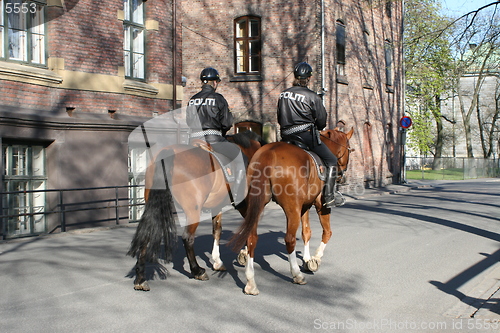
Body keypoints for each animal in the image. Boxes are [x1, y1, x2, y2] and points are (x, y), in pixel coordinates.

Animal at [127, 130, 262, 290]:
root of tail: (168, 152)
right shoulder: (243, 205)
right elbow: (248, 228)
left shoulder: (216, 206)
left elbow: (217, 230)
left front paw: (218, 261)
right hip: (193, 211)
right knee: (188, 238)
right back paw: (197, 270)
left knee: (146, 235)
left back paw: (140, 278)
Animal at [229, 127, 352, 294]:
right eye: (350, 149)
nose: (341, 176)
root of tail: (269, 153)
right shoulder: (321, 204)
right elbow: (327, 232)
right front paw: (315, 259)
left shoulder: (305, 206)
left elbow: (306, 232)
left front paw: (307, 259)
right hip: (292, 209)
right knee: (289, 239)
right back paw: (296, 275)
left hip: (257, 205)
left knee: (251, 237)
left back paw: (250, 282)